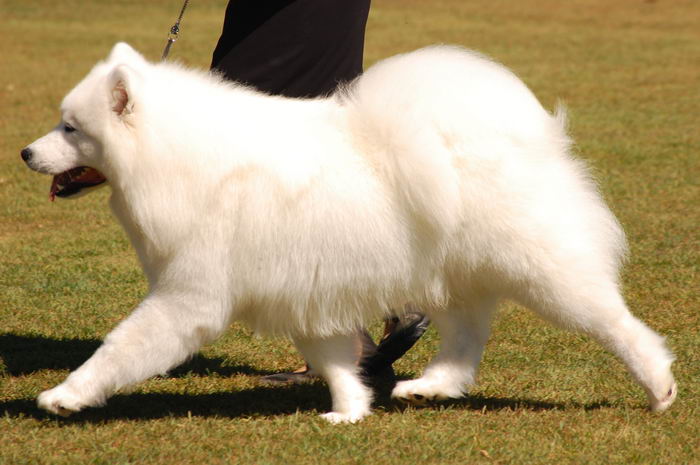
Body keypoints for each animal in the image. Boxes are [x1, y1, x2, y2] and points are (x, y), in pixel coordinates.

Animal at [23, 42, 680, 420]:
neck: (183, 157)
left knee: (616, 323)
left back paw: (660, 388)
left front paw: (65, 396)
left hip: (540, 272)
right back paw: (431, 387)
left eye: (71, 128)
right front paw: (351, 411)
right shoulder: (302, 292)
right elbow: (336, 361)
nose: (27, 152)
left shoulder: (188, 297)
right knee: (466, 336)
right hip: (455, 270)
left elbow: (120, 347)